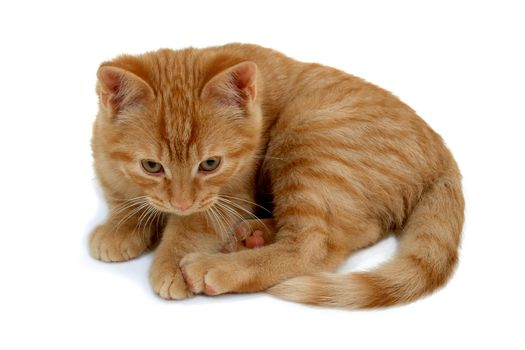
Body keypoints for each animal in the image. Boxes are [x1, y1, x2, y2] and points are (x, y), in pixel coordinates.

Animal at [90, 43, 462, 306]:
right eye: (151, 166)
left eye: (210, 164)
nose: (181, 203)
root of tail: (442, 152)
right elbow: (122, 200)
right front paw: (119, 228)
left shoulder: (231, 194)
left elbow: (194, 226)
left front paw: (171, 262)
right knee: (357, 230)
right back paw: (251, 235)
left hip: (308, 136)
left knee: (315, 247)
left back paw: (217, 266)